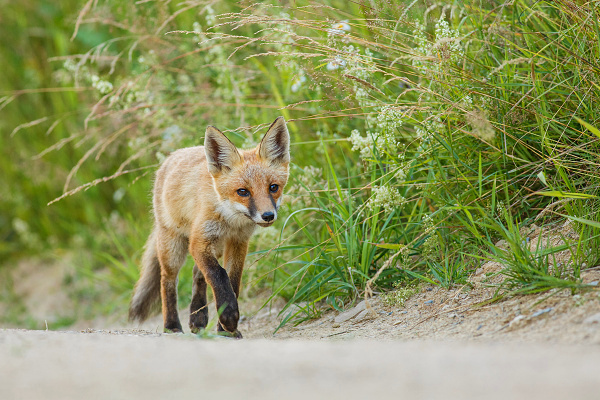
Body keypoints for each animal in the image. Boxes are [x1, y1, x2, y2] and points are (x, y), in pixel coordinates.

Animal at [129, 116, 290, 338]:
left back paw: (197, 317)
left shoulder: (238, 242)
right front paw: (229, 316)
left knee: (197, 273)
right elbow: (218, 274)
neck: (231, 220)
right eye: (243, 191)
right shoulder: (199, 240)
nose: (268, 216)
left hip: (217, 247)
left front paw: (225, 329)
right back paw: (172, 325)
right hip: (173, 247)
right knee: (168, 281)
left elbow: (232, 281)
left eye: (273, 187)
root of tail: (173, 156)